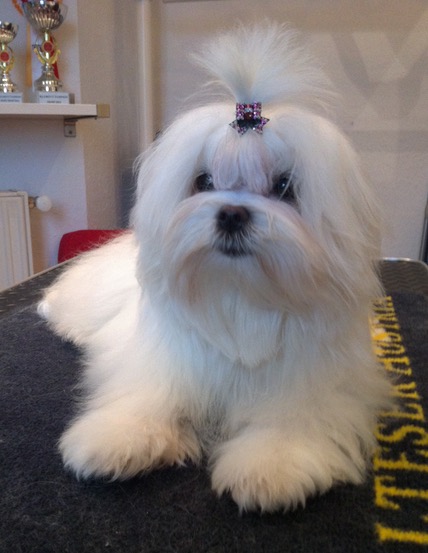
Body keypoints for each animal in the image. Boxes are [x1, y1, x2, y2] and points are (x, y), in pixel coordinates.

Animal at [38, 22, 392, 512]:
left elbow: (293, 417)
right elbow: (148, 393)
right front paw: (119, 438)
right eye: (203, 181)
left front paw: (271, 464)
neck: (237, 296)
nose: (231, 213)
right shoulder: (161, 358)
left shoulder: (314, 380)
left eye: (285, 187)